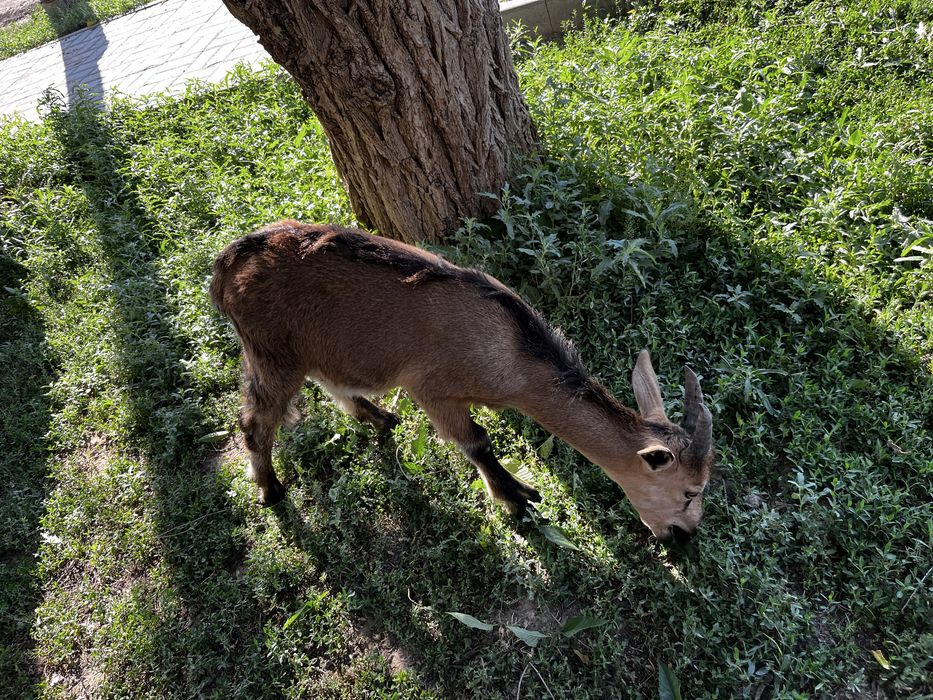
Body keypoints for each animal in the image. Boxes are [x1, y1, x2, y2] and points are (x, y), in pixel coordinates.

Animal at [210, 221, 714, 543]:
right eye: (691, 492)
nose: (684, 537)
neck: (511, 357)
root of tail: (227, 264)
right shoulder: (431, 388)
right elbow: (477, 442)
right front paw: (517, 498)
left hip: (314, 348)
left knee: (334, 384)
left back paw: (380, 418)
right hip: (270, 352)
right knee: (255, 421)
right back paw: (270, 489)